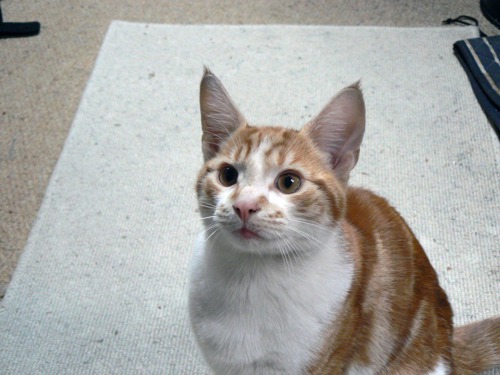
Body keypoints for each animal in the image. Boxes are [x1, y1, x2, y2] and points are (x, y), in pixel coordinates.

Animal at [188, 68, 500, 375]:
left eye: (289, 182)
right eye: (228, 175)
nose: (245, 205)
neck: (251, 277)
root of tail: (449, 342)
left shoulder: (326, 362)